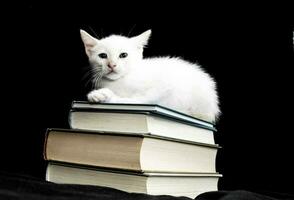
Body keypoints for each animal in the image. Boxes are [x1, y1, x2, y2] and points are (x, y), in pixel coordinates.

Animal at [79, 28, 219, 122]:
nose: (112, 65)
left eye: (123, 55)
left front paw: (103, 95)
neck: (120, 81)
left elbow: (135, 100)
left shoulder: (160, 88)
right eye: (103, 56)